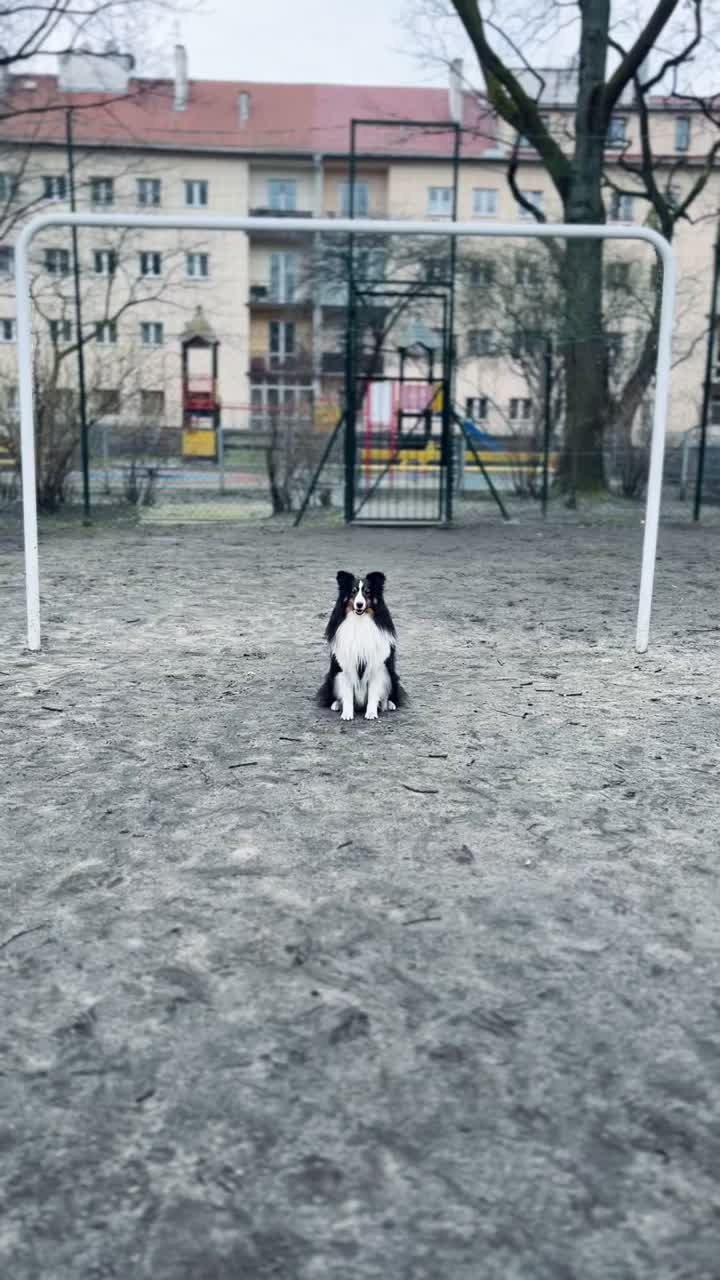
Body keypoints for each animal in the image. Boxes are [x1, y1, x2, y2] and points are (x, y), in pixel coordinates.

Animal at [317, 570, 404, 721]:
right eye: (353, 592)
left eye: (367, 592)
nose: (359, 604)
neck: (360, 621)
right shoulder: (345, 666)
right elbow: (347, 694)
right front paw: (347, 714)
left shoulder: (377, 666)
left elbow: (373, 693)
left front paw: (371, 713)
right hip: (332, 675)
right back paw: (336, 704)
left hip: (391, 674)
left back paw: (388, 704)